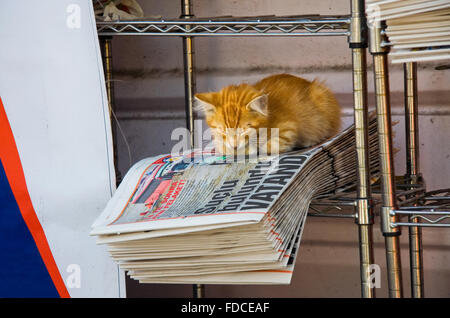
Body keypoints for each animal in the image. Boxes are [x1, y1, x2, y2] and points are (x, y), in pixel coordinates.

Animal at [194, 73, 342, 155]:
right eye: (223, 131)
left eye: (244, 130)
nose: (234, 145)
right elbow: (221, 146)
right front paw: (229, 148)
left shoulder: (288, 129)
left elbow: (269, 146)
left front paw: (249, 149)